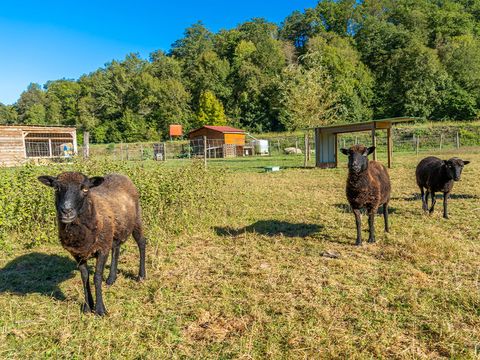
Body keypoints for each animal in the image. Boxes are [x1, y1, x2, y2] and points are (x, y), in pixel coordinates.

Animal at [39, 172, 146, 316]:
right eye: (56, 188)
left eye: (85, 189)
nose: (66, 211)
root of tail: (120, 174)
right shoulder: (78, 254)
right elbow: (85, 277)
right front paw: (87, 307)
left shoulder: (102, 249)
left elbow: (97, 277)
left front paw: (100, 309)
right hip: (114, 231)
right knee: (116, 248)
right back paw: (111, 279)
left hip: (136, 220)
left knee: (142, 243)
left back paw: (141, 276)